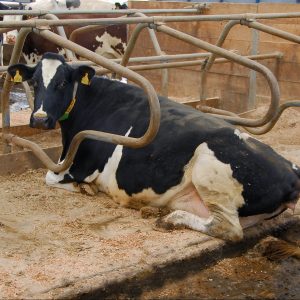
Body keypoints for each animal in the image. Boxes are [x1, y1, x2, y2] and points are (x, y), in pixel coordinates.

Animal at [7, 52, 300, 241]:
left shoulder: (81, 164)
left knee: (229, 229)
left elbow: (49, 177)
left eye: (63, 82)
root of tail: (291, 171)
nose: (40, 118)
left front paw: (85, 188)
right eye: (34, 82)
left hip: (210, 166)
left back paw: (171, 220)